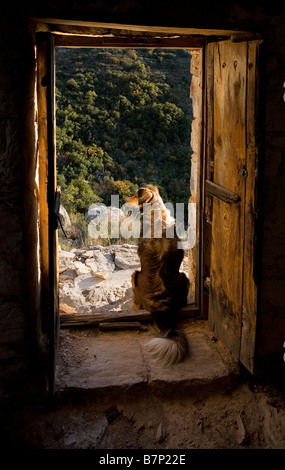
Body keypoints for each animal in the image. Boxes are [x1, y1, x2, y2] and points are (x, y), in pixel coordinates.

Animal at [125, 185, 189, 368]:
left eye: (135, 195)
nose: (124, 200)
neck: (156, 212)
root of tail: (164, 309)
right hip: (185, 277)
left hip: (134, 275)